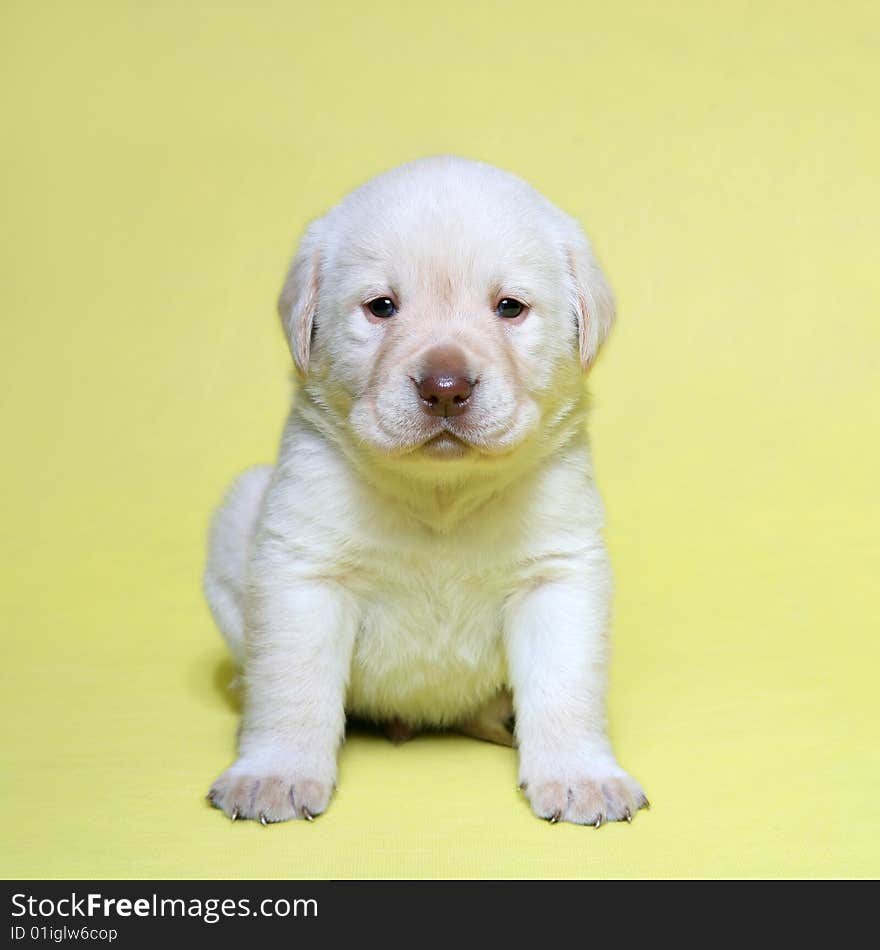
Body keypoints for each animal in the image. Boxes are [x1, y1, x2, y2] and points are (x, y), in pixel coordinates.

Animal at [205, 156, 648, 824]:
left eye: (509, 307)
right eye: (382, 306)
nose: (445, 387)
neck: (442, 493)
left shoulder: (558, 576)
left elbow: (566, 689)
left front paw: (582, 776)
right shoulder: (303, 571)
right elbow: (292, 686)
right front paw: (274, 772)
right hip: (237, 520)